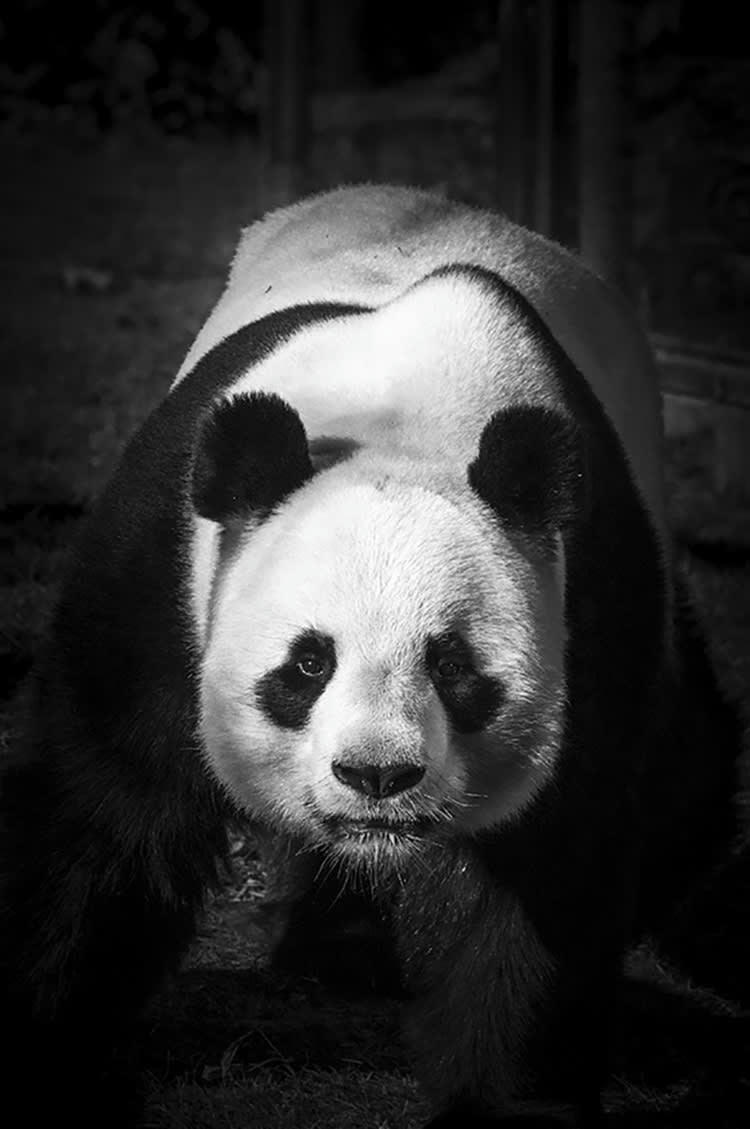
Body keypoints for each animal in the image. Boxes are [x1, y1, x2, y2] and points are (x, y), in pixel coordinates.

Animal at [0, 184, 742, 1128]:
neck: (407, 421)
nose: (377, 776)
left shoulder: (592, 597)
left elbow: (551, 861)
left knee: (689, 775)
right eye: (309, 663)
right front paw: (51, 1064)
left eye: (454, 666)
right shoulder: (160, 569)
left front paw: (510, 1102)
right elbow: (105, 808)